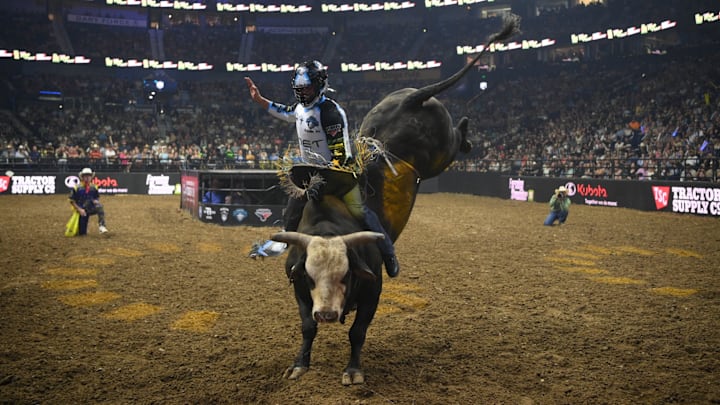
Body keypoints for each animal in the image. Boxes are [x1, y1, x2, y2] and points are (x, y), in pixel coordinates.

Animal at [270, 14, 520, 385]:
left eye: (344, 275)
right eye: (313, 276)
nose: (327, 314)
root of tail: (413, 97)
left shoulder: (373, 290)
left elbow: (357, 331)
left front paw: (354, 370)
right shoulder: (300, 288)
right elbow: (306, 327)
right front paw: (300, 363)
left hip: (439, 154)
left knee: (456, 137)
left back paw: (467, 131)